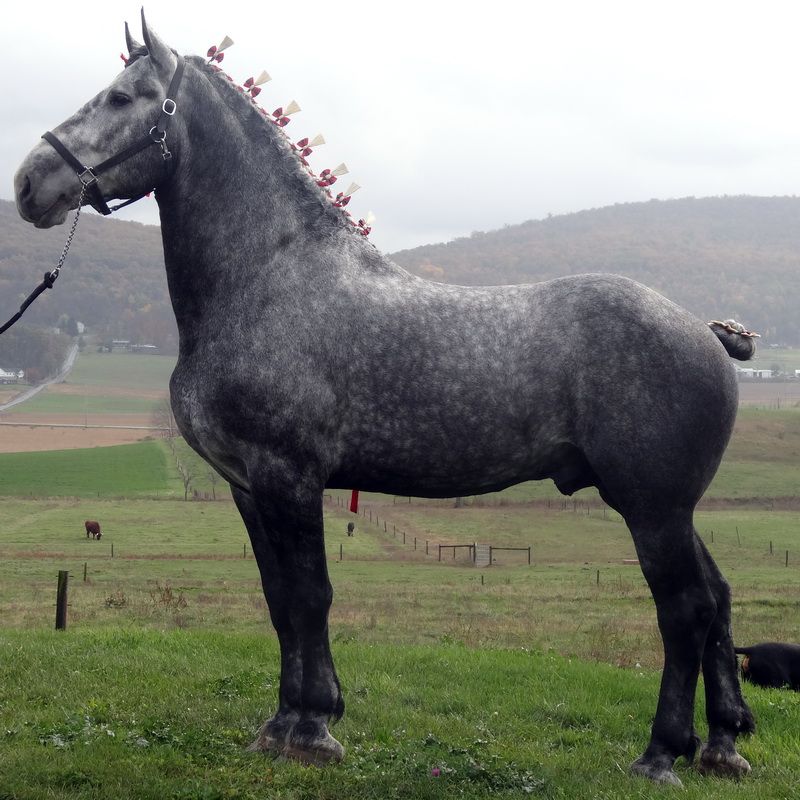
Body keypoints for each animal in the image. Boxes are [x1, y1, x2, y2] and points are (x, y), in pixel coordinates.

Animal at [15, 14, 760, 788]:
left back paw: (661, 753)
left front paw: (314, 727)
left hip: (652, 508)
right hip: (669, 509)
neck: (268, 280)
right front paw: (282, 724)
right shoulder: (249, 487)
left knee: (684, 609)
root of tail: (705, 330)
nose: (29, 182)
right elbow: (280, 601)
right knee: (717, 599)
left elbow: (311, 596)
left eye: (123, 96)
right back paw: (722, 744)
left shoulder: (289, 477)